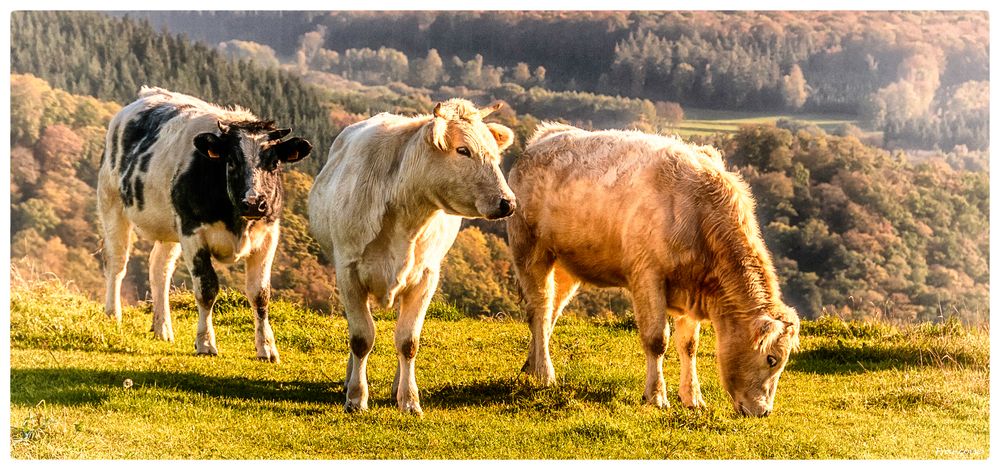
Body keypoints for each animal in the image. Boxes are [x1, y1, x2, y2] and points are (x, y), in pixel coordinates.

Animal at [96, 87, 312, 360]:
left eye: (274, 163)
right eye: (231, 161)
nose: (254, 203)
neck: (236, 222)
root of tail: (148, 94)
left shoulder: (268, 236)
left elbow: (260, 293)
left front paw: (267, 347)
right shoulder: (192, 233)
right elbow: (207, 289)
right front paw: (206, 343)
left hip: (169, 226)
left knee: (159, 268)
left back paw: (162, 327)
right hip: (111, 202)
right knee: (117, 263)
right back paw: (112, 315)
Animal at [308, 99, 516, 414]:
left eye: (494, 153)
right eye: (463, 150)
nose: (508, 202)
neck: (408, 213)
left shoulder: (426, 277)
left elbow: (408, 341)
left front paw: (409, 400)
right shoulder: (348, 272)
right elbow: (360, 338)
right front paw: (356, 397)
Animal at [512, 123, 800, 416]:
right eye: (772, 359)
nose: (764, 412)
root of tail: (546, 136)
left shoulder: (692, 290)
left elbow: (689, 345)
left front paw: (692, 398)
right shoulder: (647, 276)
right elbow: (657, 340)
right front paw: (656, 395)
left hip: (565, 267)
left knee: (551, 311)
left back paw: (531, 367)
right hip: (529, 249)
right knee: (540, 309)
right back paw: (545, 374)